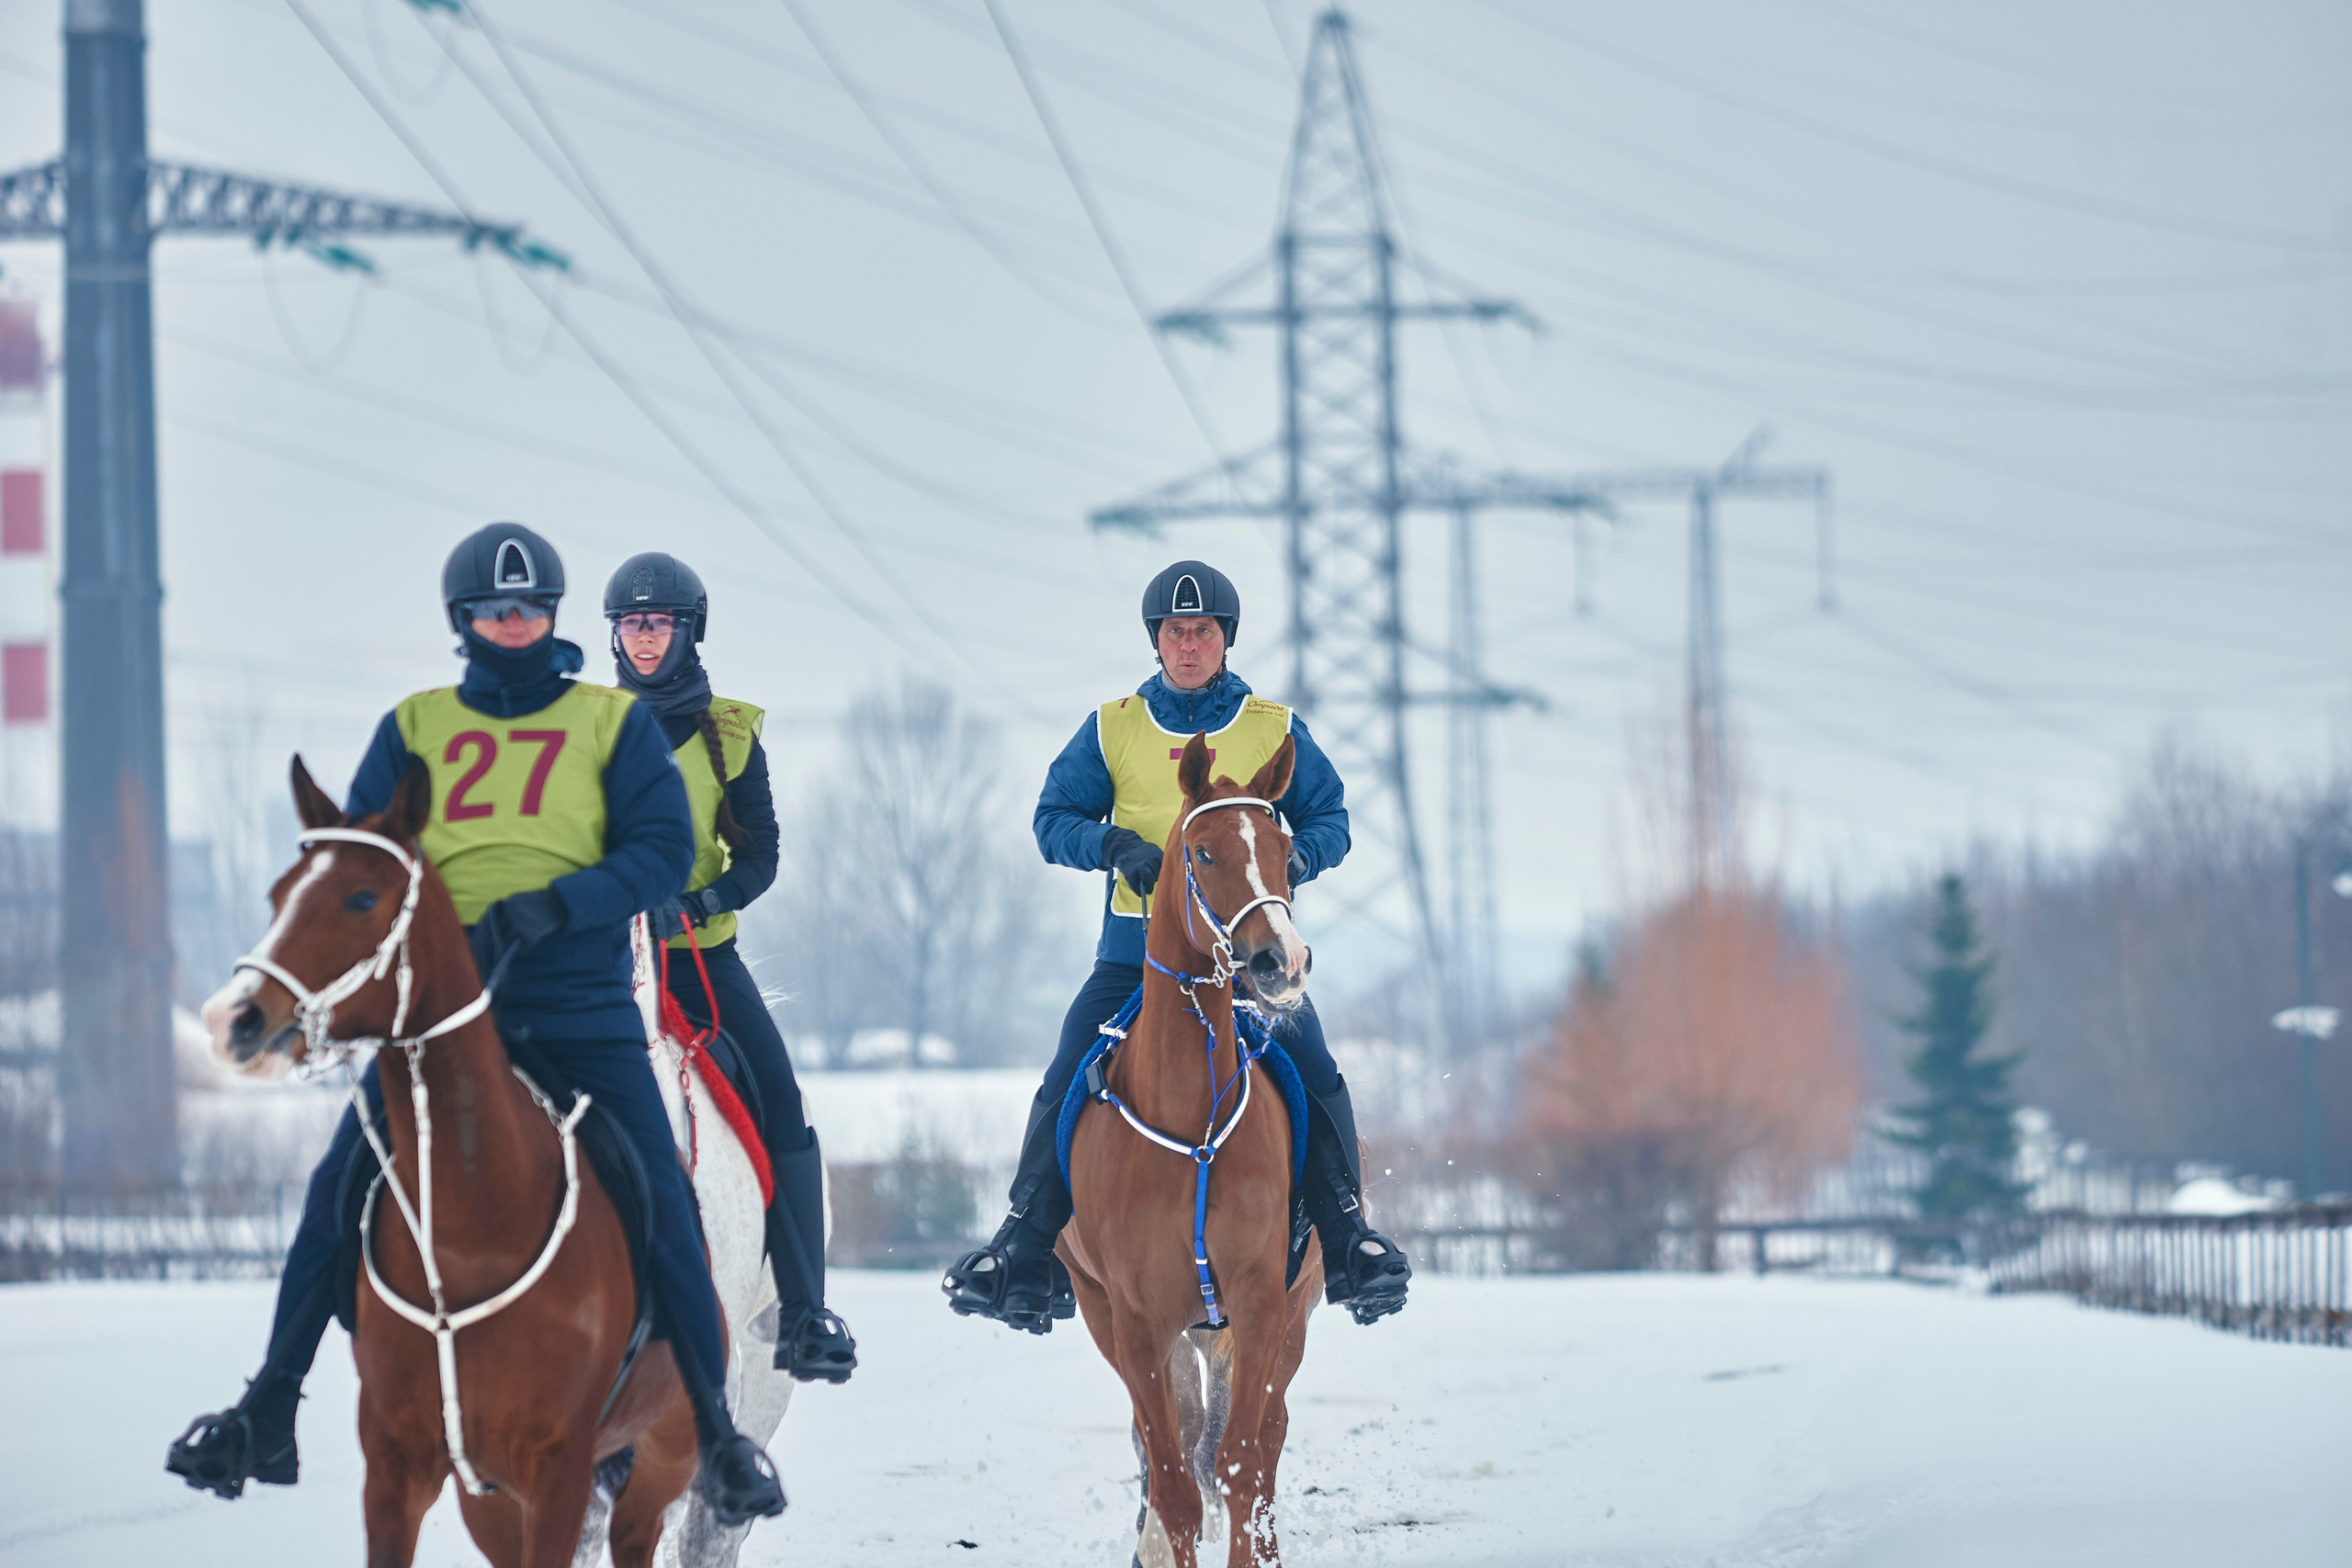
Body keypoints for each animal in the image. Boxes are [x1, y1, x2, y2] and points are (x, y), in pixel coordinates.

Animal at [1060, 733, 1323, 1568]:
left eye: (1284, 852)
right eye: (1203, 852)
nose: (1281, 962)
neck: (1192, 1124)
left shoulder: (1262, 1299)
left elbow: (1239, 1464)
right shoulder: (1136, 1318)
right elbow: (1174, 1479)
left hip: (1280, 1318)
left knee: (1257, 1445)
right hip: (1121, 1317)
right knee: (1168, 1445)